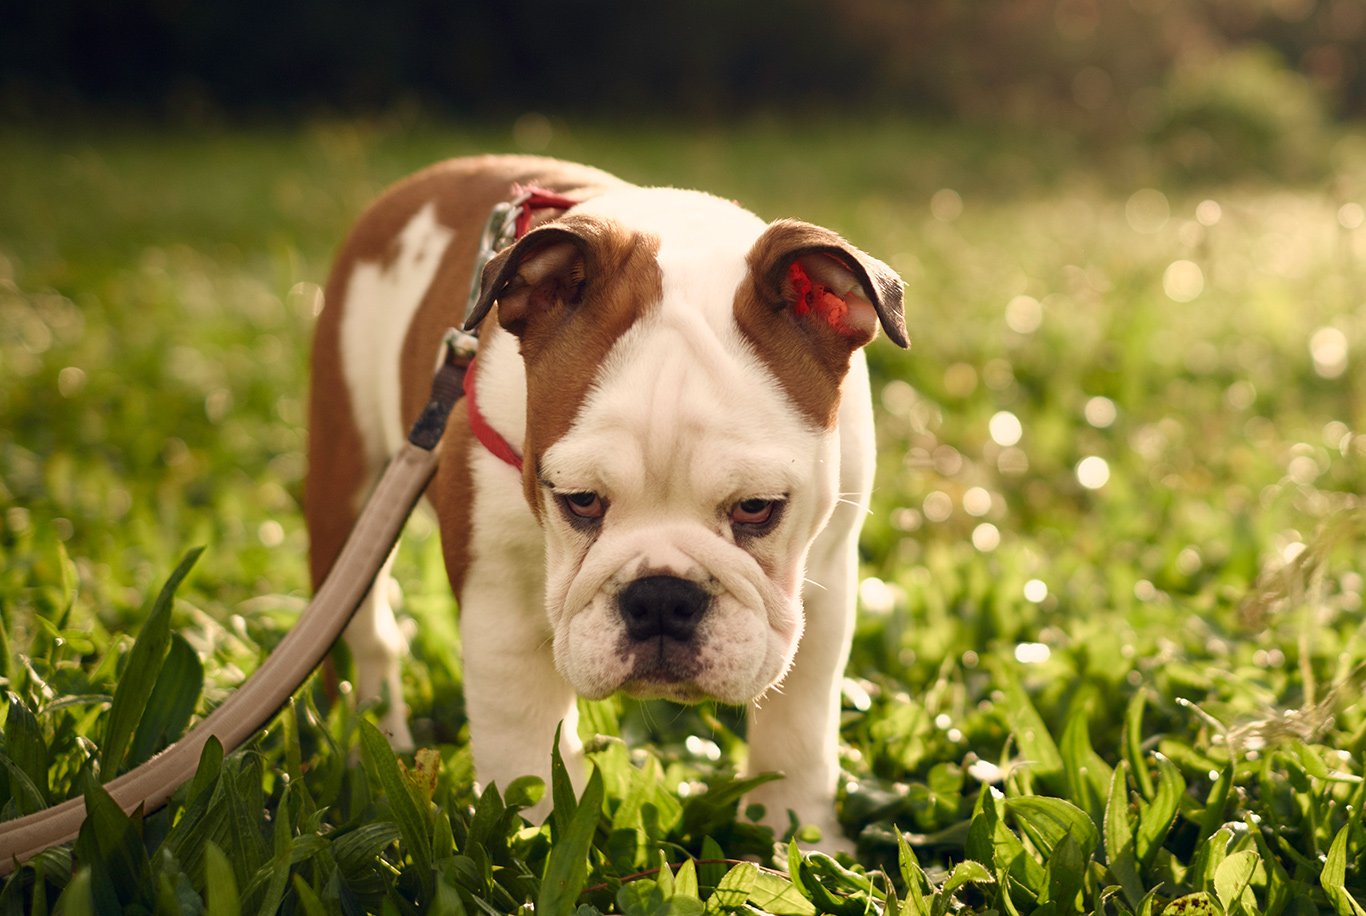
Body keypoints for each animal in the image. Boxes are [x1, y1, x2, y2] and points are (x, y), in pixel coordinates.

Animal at [306, 154, 906, 846]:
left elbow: (800, 725)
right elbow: (521, 738)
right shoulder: (500, 601)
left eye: (757, 508)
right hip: (347, 489)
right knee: (361, 630)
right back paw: (370, 745)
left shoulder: (825, 578)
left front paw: (797, 833)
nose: (662, 597)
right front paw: (529, 839)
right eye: (581, 501)